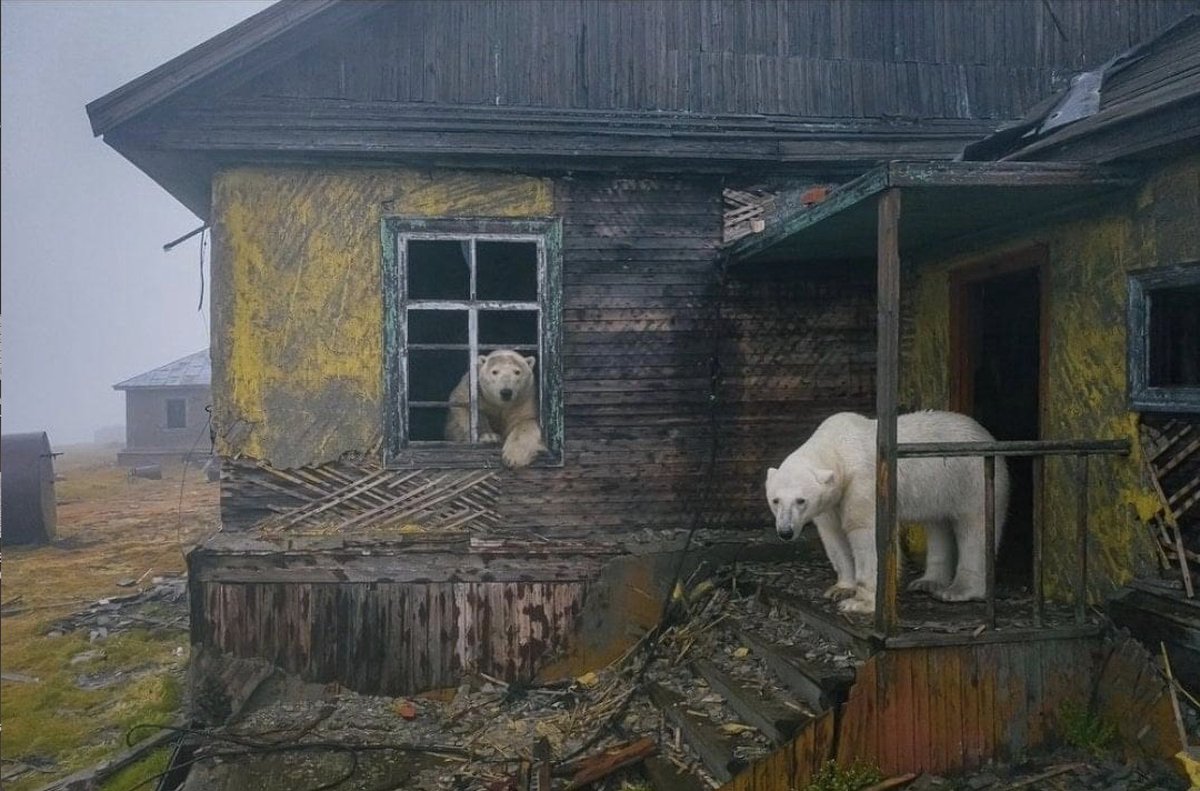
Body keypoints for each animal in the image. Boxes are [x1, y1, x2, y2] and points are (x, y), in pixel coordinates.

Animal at [763, 410, 1008, 614]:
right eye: (775, 500)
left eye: (801, 500)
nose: (785, 532)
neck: (838, 448)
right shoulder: (832, 501)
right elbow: (833, 536)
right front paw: (840, 588)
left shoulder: (863, 482)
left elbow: (867, 534)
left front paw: (859, 603)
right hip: (939, 489)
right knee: (937, 524)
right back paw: (928, 582)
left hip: (971, 478)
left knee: (975, 527)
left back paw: (958, 590)